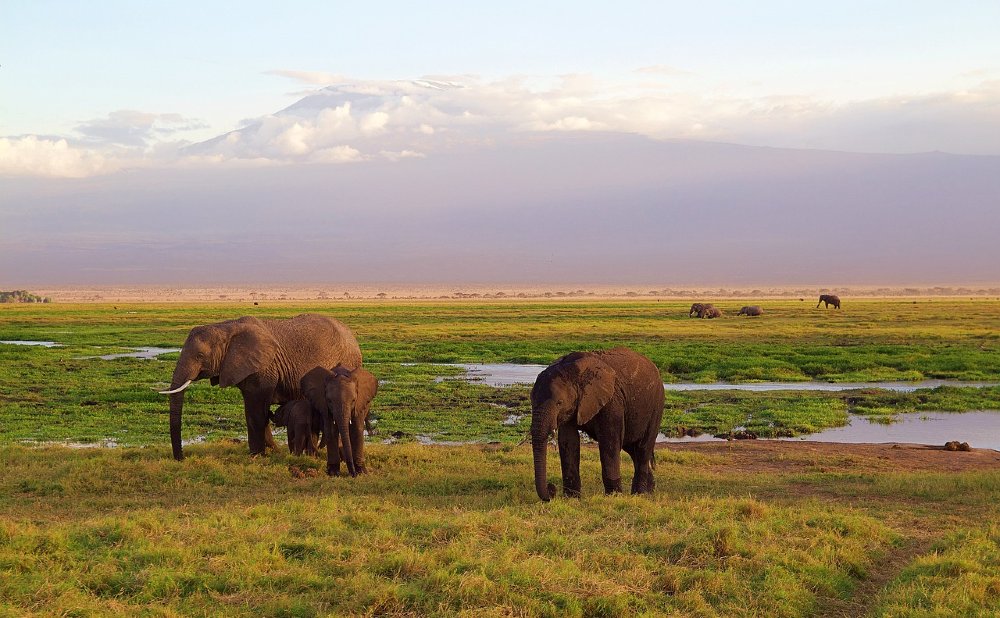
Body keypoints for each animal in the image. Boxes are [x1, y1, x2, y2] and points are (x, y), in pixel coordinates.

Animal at [156, 312, 360, 458]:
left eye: (199, 356)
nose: (181, 458)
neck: (226, 327)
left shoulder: (264, 368)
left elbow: (256, 410)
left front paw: (256, 456)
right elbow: (253, 410)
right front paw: (269, 451)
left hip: (347, 363)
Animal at [532, 346, 664, 500]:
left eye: (559, 403)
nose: (552, 489)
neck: (575, 372)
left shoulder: (612, 401)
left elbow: (609, 441)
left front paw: (614, 496)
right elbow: (569, 441)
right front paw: (572, 498)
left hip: (656, 405)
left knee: (643, 448)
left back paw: (640, 494)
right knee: (632, 449)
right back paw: (649, 491)